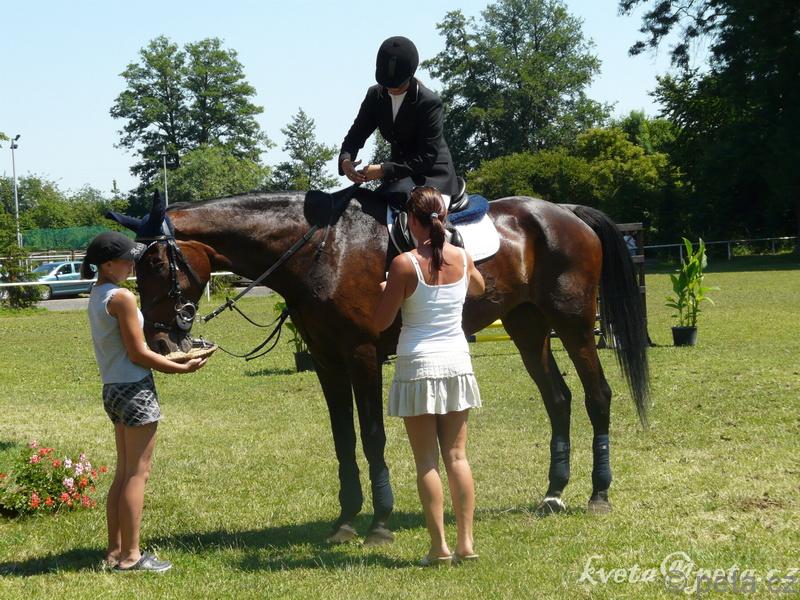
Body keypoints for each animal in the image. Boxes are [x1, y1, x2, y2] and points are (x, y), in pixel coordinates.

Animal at [110, 187, 649, 544]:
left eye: (155, 264)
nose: (159, 338)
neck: (320, 249)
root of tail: (565, 213)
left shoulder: (363, 355)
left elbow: (372, 436)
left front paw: (381, 522)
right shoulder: (327, 362)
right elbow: (343, 438)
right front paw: (346, 519)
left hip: (573, 324)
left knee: (597, 395)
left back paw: (598, 493)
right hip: (527, 325)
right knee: (558, 398)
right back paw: (554, 492)